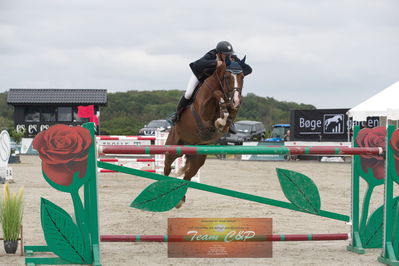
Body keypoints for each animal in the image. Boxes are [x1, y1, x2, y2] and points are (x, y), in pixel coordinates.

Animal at [163, 58, 245, 208]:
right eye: (227, 77)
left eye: (242, 77)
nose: (236, 99)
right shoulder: (204, 111)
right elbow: (217, 94)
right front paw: (220, 119)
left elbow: (228, 115)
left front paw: (223, 120)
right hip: (173, 148)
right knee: (167, 166)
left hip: (198, 158)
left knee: (188, 176)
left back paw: (180, 199)